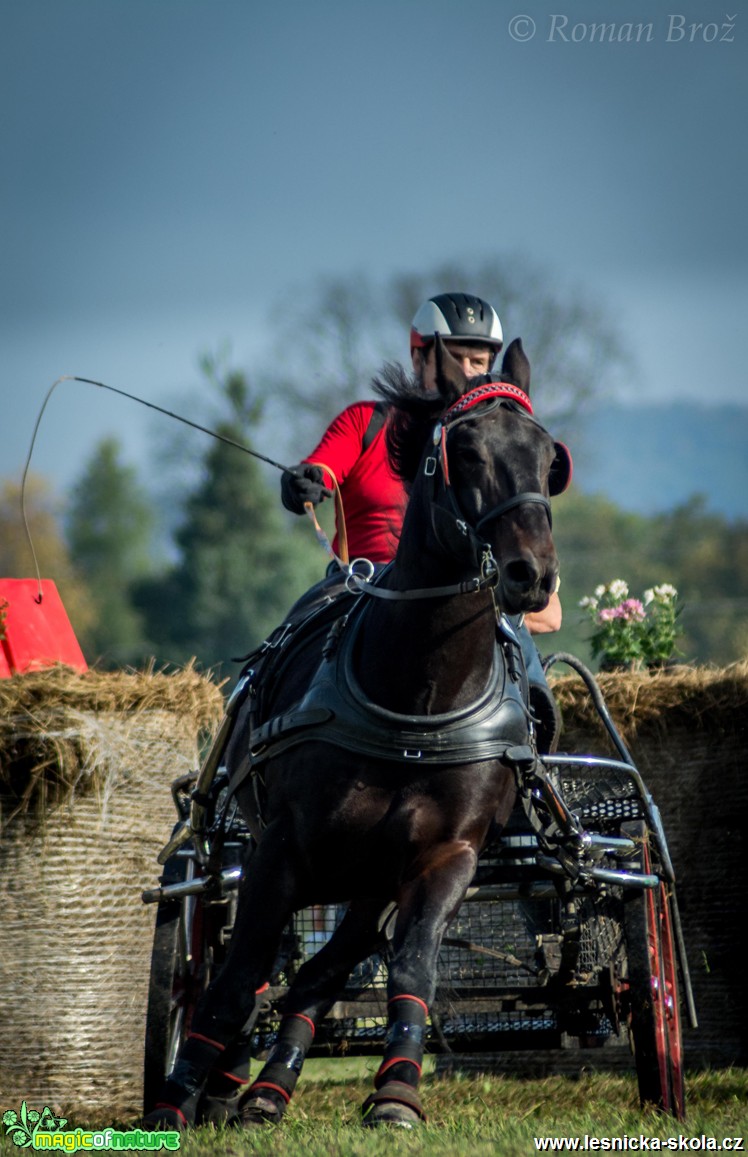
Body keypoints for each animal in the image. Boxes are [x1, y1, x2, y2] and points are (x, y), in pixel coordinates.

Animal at [145, 335, 569, 1129]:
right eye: (464, 450)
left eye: (545, 454)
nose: (531, 574)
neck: (416, 701)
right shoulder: (283, 844)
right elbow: (238, 975)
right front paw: (179, 1093)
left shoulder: (446, 853)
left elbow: (411, 964)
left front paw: (398, 1089)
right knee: (259, 966)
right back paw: (228, 1079)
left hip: (371, 876)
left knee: (322, 970)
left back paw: (269, 1086)